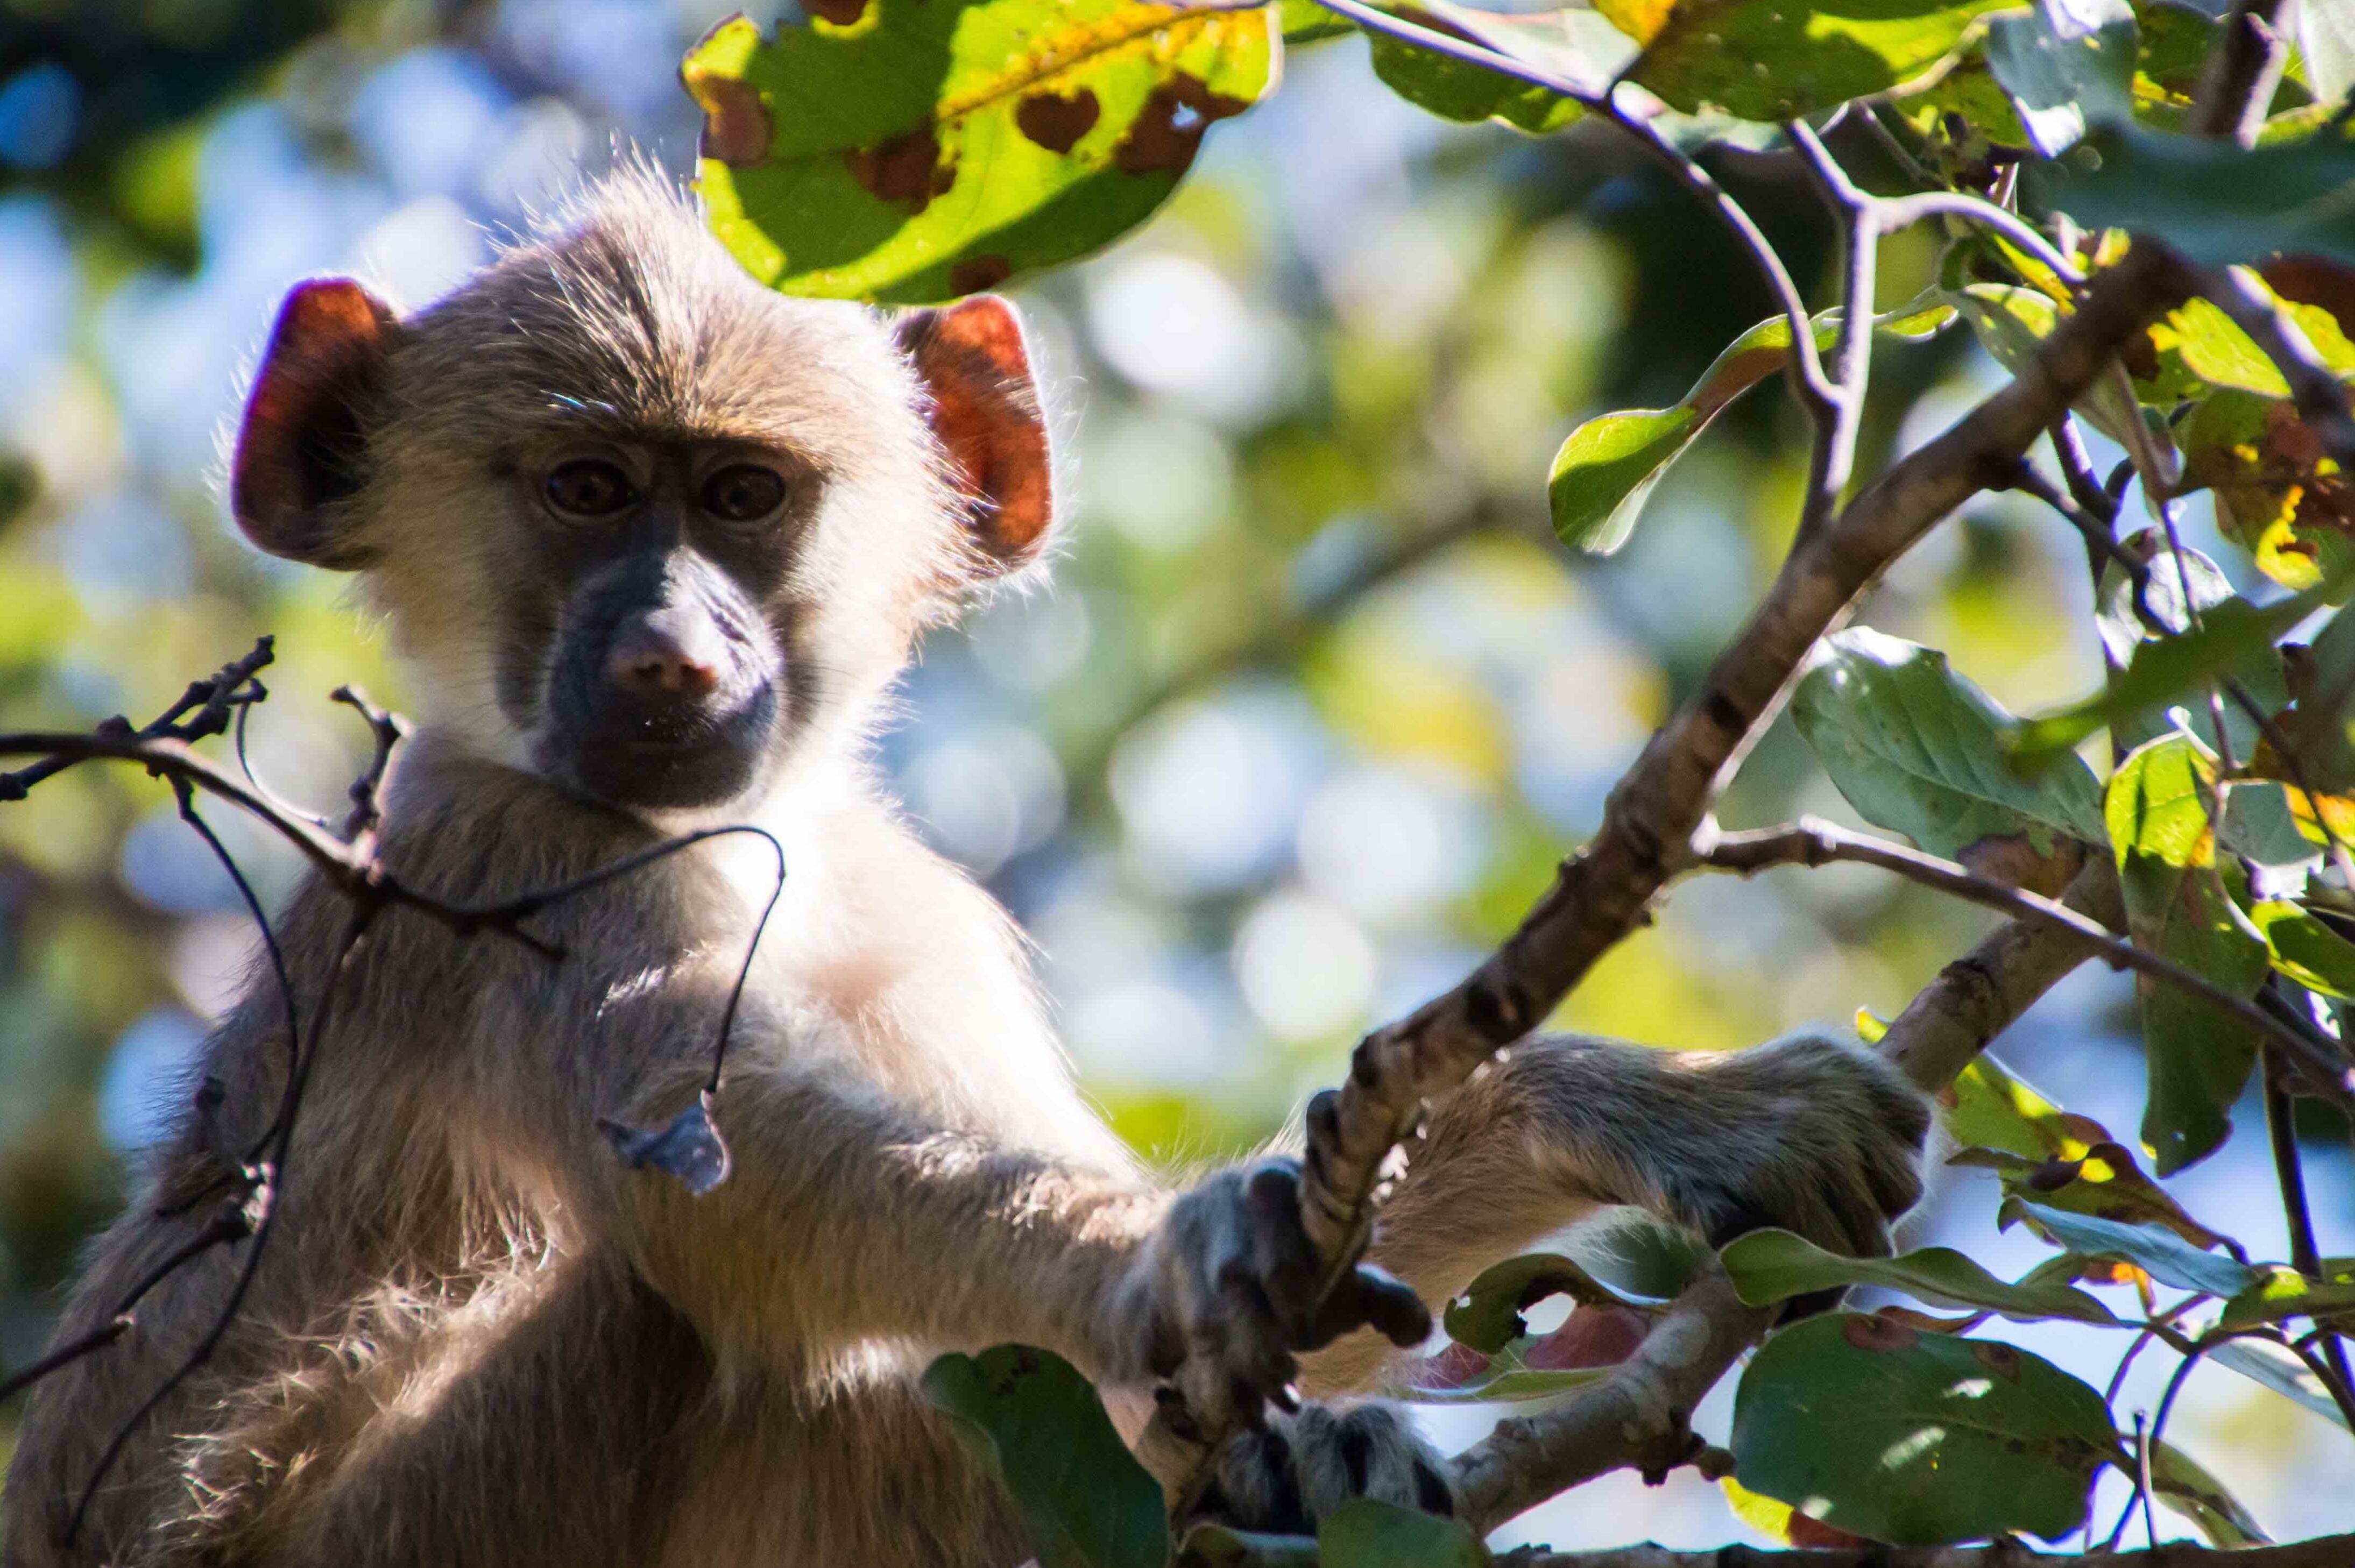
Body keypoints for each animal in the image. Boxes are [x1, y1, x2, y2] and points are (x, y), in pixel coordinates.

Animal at [1, 169, 1930, 1568]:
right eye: (584, 485)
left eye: (743, 496)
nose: (670, 659)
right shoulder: (503, 860)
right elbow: (709, 1179)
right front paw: (1174, 1263)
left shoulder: (923, 920)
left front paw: (1635, 1108)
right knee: (684, 1312)